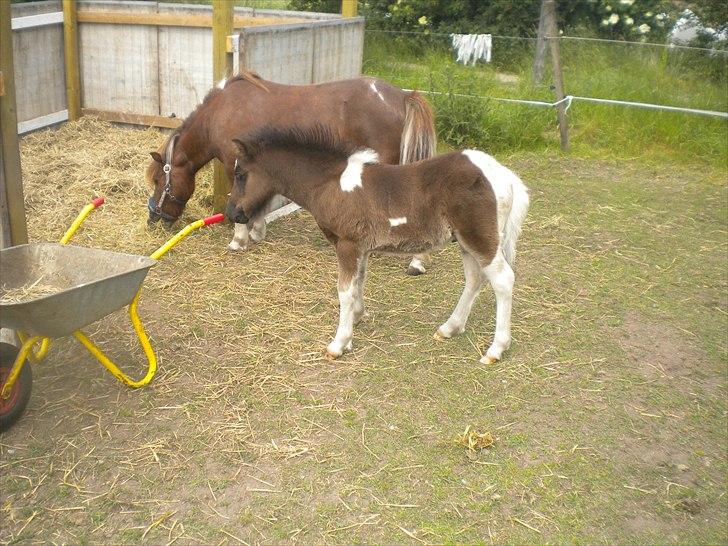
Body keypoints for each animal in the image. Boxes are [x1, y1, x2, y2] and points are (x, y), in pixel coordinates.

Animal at [145, 72, 436, 274]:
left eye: (159, 179)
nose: (153, 218)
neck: (220, 112)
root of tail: (401, 96)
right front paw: (257, 232)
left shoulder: (235, 165)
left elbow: (241, 200)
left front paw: (239, 239)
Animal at [228, 126, 528, 364]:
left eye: (240, 174)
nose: (232, 213)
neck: (329, 183)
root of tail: (504, 174)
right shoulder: (361, 247)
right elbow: (359, 281)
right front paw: (357, 317)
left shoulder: (347, 244)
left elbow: (344, 290)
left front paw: (339, 343)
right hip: (465, 241)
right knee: (475, 279)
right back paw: (450, 328)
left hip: (480, 238)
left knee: (502, 280)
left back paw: (495, 349)